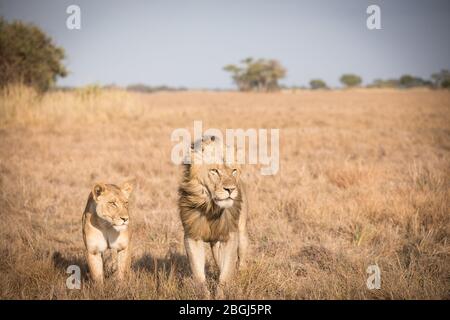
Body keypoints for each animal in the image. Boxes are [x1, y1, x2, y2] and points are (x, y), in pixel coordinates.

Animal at [178, 135, 250, 296]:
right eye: (215, 171)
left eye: (234, 171)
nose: (231, 189)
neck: (211, 208)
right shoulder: (192, 236)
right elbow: (198, 275)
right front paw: (204, 295)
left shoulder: (230, 236)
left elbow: (225, 274)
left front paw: (221, 295)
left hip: (241, 232)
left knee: (241, 258)